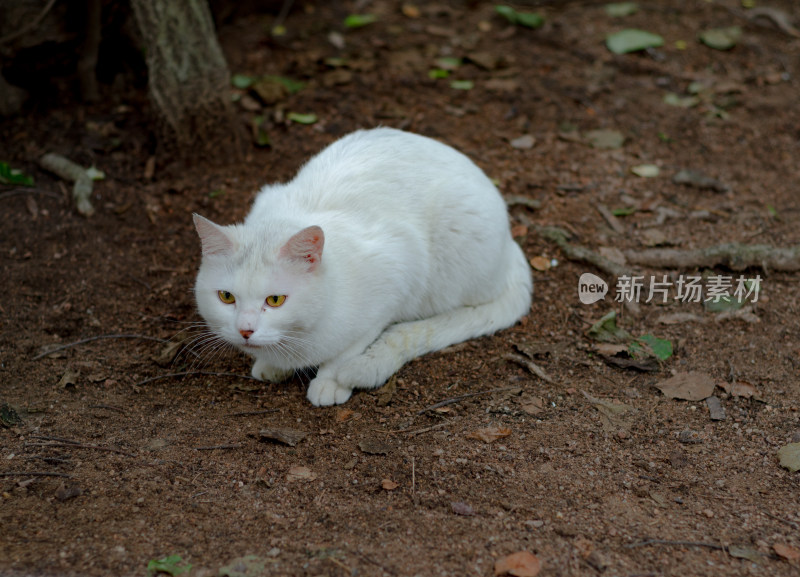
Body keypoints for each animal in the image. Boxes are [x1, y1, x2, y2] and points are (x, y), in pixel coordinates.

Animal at [192, 127, 532, 404]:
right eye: (226, 297)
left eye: (275, 300)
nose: (245, 330)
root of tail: (511, 243)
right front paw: (273, 366)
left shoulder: (400, 269)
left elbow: (351, 346)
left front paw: (330, 380)